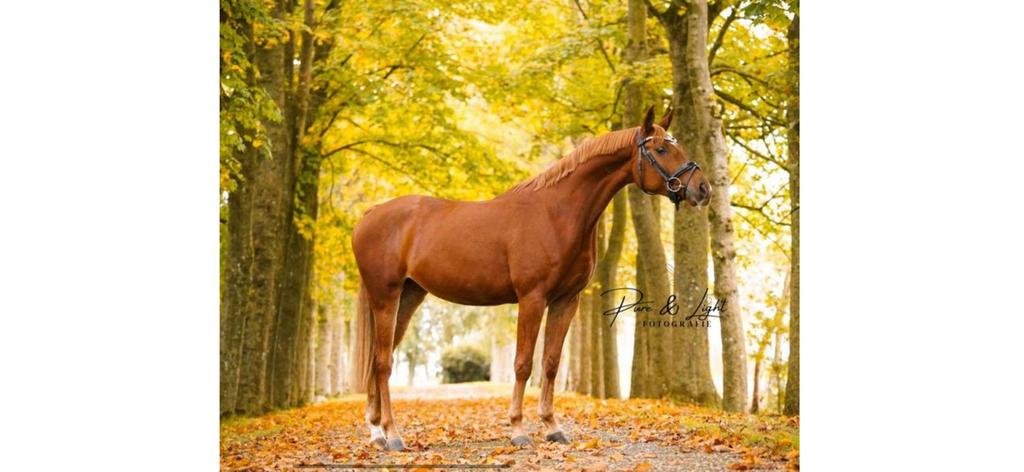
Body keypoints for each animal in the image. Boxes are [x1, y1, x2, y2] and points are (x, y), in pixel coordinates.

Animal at [351, 105, 712, 451]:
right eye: (662, 148)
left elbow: (550, 363)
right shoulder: (532, 299)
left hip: (409, 297)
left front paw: (552, 427)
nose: (703, 188)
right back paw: (392, 435)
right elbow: (523, 363)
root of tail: (371, 214)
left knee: (378, 359)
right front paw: (518, 430)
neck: (557, 213)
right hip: (386, 297)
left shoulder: (566, 301)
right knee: (382, 363)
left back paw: (377, 432)